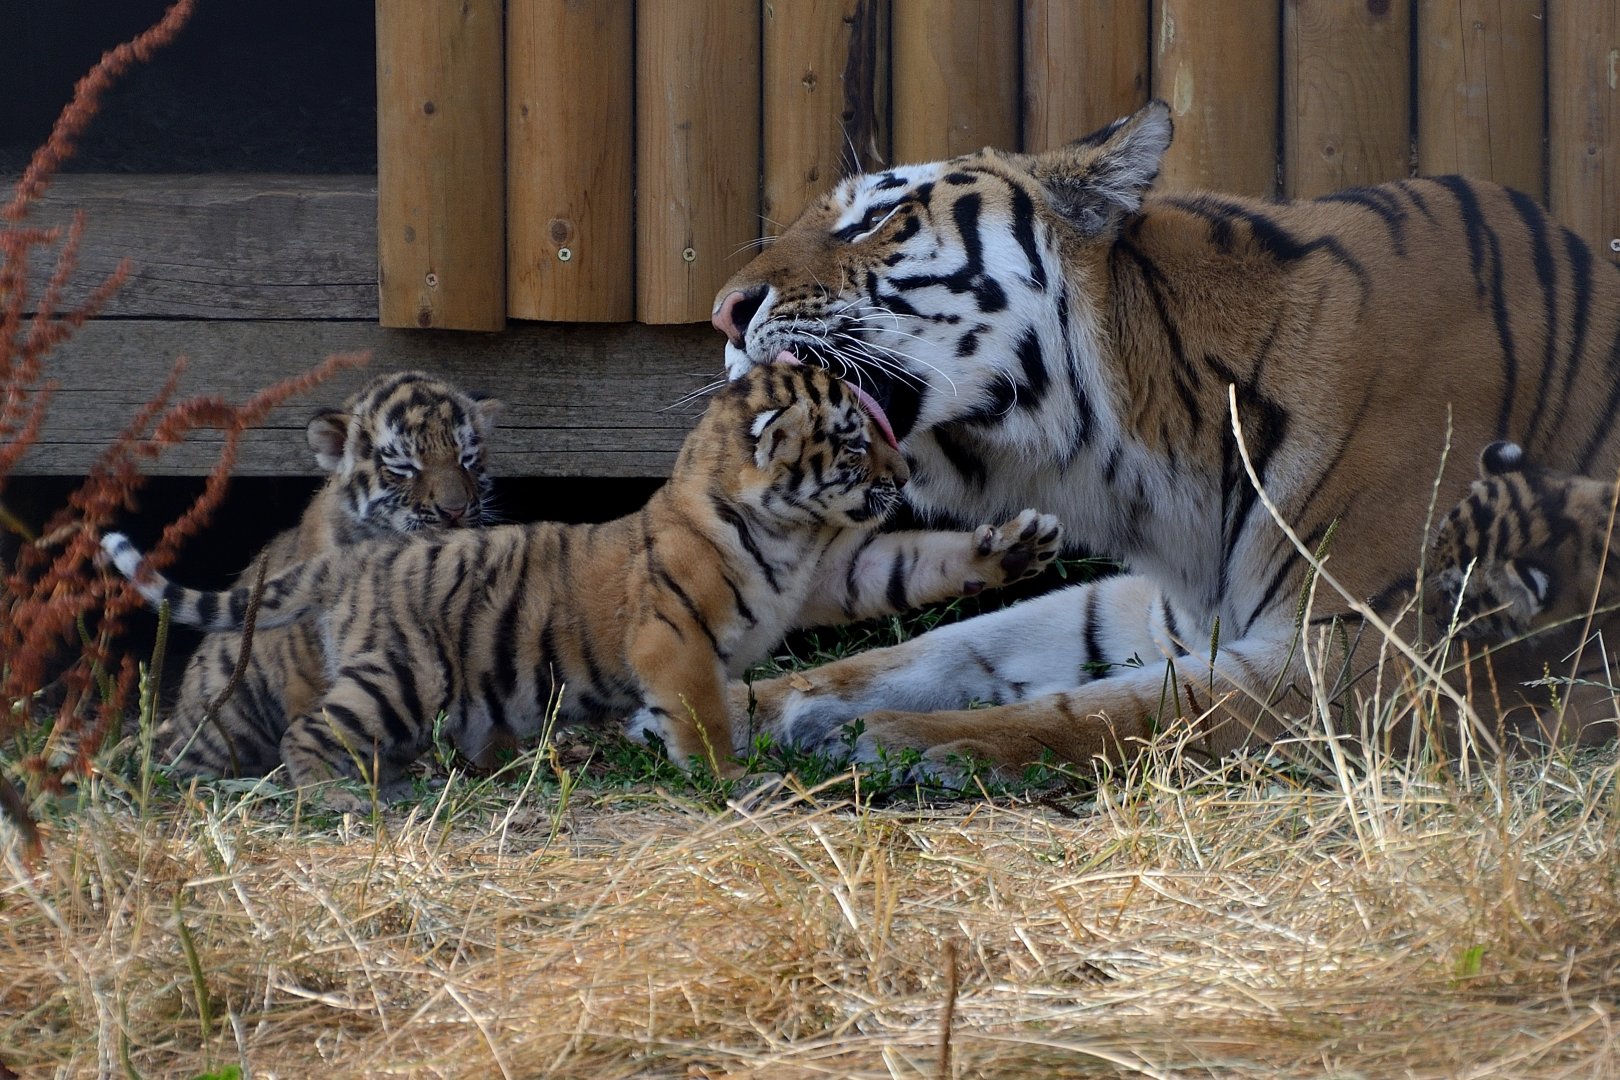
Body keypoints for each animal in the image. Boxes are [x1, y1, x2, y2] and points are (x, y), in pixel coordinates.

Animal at [708, 98, 1620, 779]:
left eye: (883, 217)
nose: (722, 312)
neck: (1141, 462)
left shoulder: (1371, 660)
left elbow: (1134, 708)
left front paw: (895, 739)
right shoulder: (1161, 608)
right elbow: (956, 644)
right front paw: (748, 703)